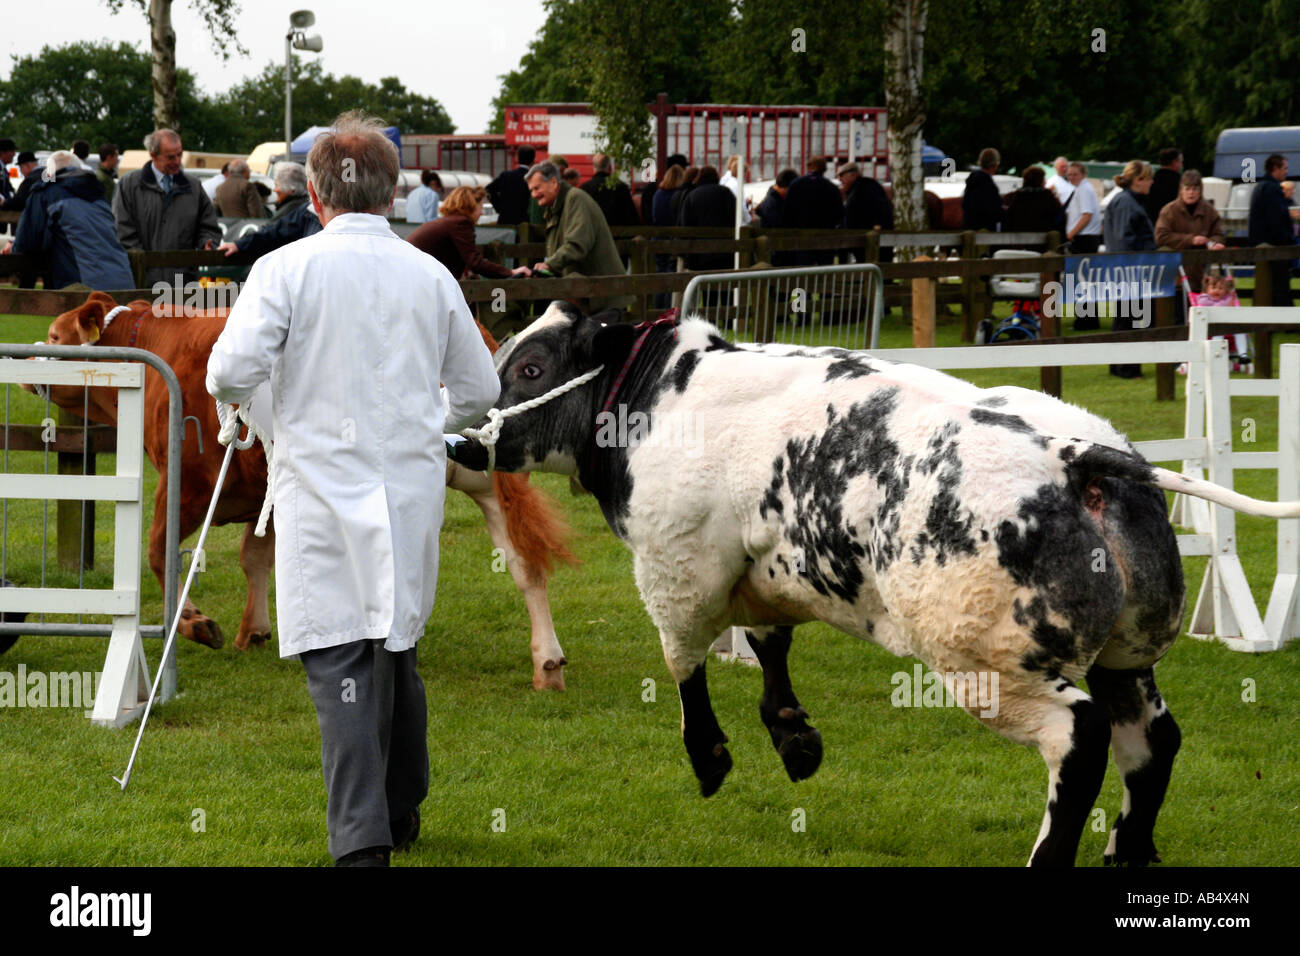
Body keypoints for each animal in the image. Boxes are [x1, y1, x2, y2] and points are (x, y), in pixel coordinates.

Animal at [30, 291, 577, 686]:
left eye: (55, 335)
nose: (28, 372)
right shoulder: (264, 490)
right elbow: (254, 556)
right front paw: (255, 630)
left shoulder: (185, 485)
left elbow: (159, 554)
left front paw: (196, 624)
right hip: (492, 484)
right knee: (525, 566)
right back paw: (547, 662)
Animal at [462, 303, 1294, 868]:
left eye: (531, 367)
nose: (466, 440)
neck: (664, 395)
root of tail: (1073, 454)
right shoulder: (770, 567)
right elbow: (768, 645)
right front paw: (794, 737)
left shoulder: (677, 571)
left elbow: (684, 666)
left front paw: (711, 757)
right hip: (1128, 651)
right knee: (1150, 739)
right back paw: (1128, 849)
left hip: (987, 663)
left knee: (1080, 738)